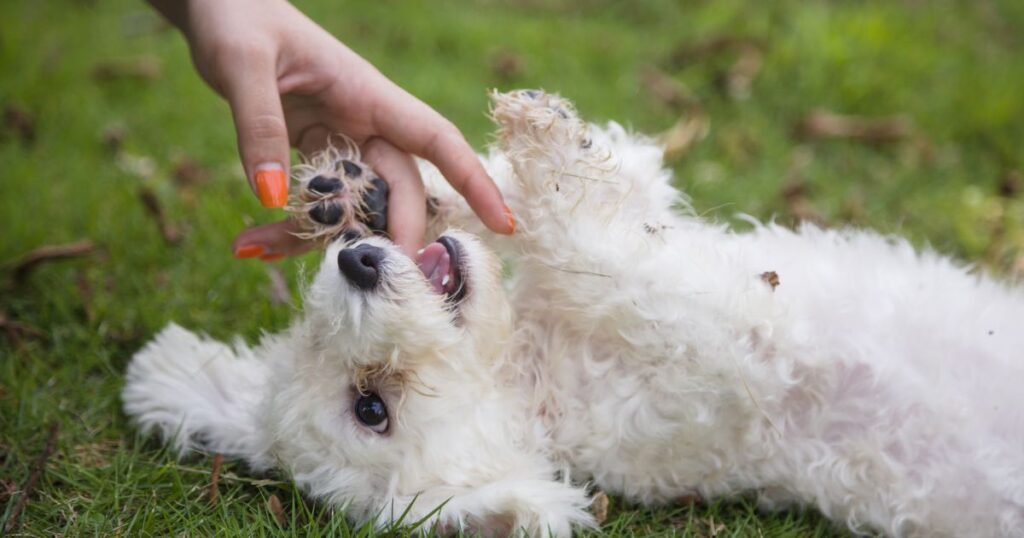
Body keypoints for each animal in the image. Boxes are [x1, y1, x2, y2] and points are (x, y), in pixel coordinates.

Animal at [121, 90, 1024, 532]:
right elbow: (592, 249)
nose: (358, 262)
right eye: (371, 405)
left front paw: (369, 191)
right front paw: (545, 157)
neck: (533, 367)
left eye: (314, 330)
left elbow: (554, 196)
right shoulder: (729, 342)